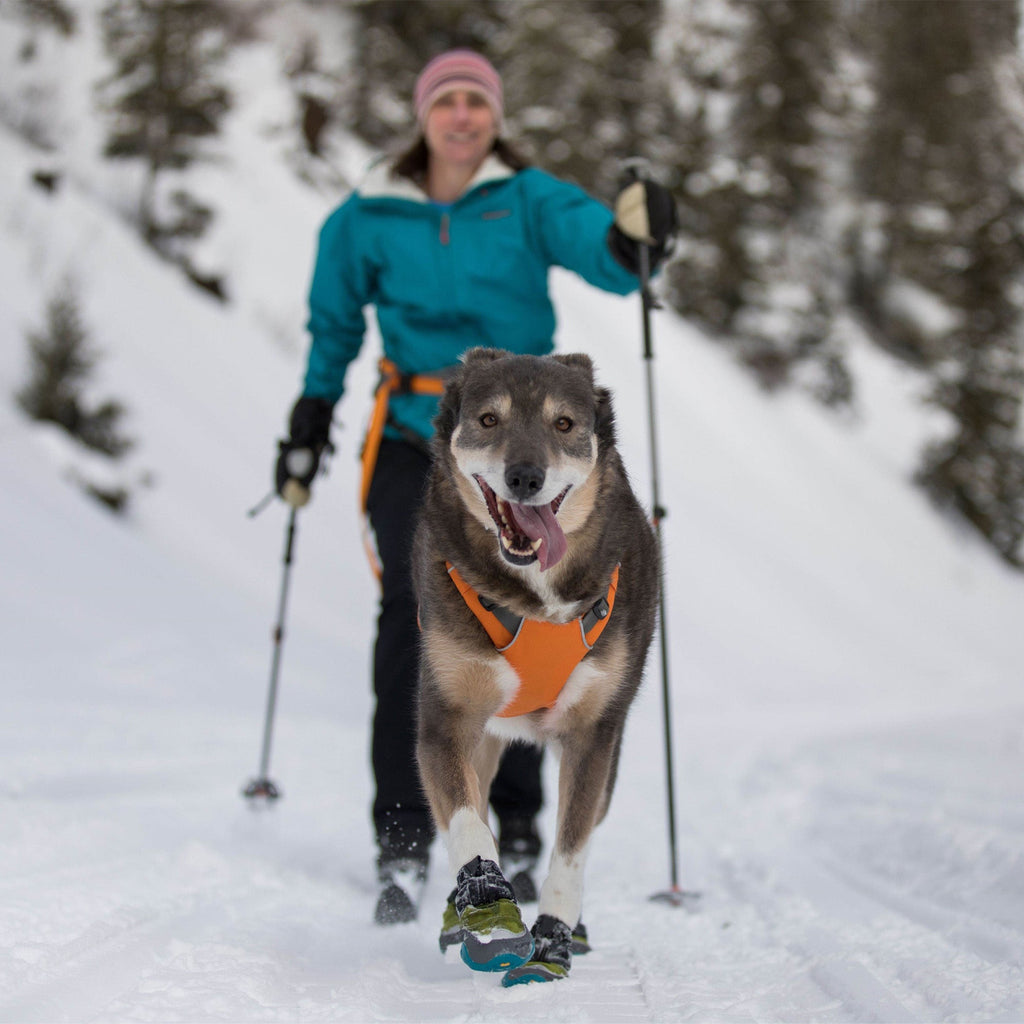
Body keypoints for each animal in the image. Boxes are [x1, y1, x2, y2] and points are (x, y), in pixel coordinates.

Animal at [413, 350, 659, 983]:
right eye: (489, 419)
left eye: (564, 424)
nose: (525, 477)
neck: (535, 600)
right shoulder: (447, 720)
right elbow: (469, 825)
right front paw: (491, 917)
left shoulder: (593, 736)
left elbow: (570, 851)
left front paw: (551, 940)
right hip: (484, 735)